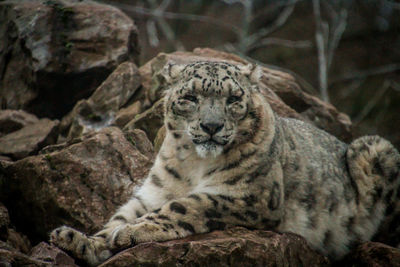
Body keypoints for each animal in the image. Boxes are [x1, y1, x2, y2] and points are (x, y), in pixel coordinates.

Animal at [50, 62, 400, 266]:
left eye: (233, 99)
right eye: (189, 97)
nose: (211, 126)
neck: (193, 164)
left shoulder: (251, 194)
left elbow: (185, 205)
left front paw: (132, 232)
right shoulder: (154, 192)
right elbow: (122, 214)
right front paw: (79, 240)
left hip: (376, 148)